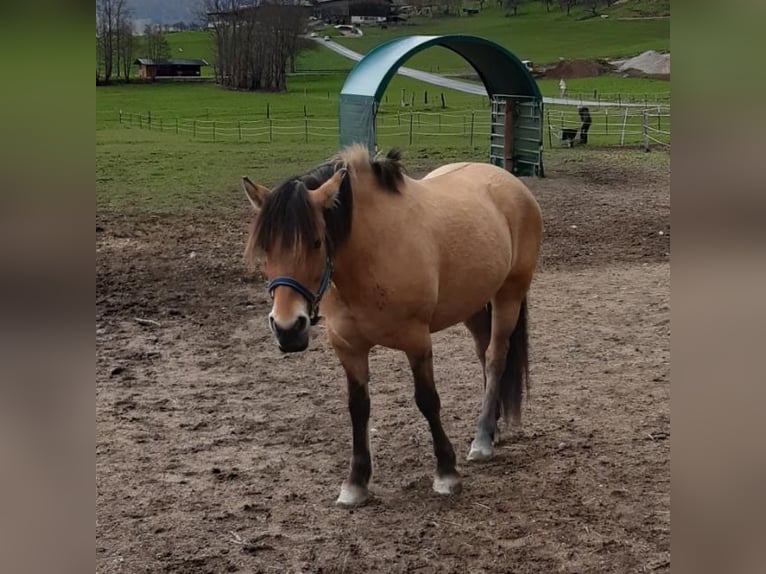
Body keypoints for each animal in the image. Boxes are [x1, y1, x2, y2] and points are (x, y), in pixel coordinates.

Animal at [243, 145, 544, 508]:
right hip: (472, 303)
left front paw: (446, 472)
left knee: (497, 357)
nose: (288, 329)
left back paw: (483, 438)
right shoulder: (348, 348)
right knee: (484, 355)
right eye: (266, 247)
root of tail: (509, 182)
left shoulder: (417, 341)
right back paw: (491, 428)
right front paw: (356, 482)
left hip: (508, 295)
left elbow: (427, 400)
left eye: (316, 241)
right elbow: (358, 408)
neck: (371, 255)